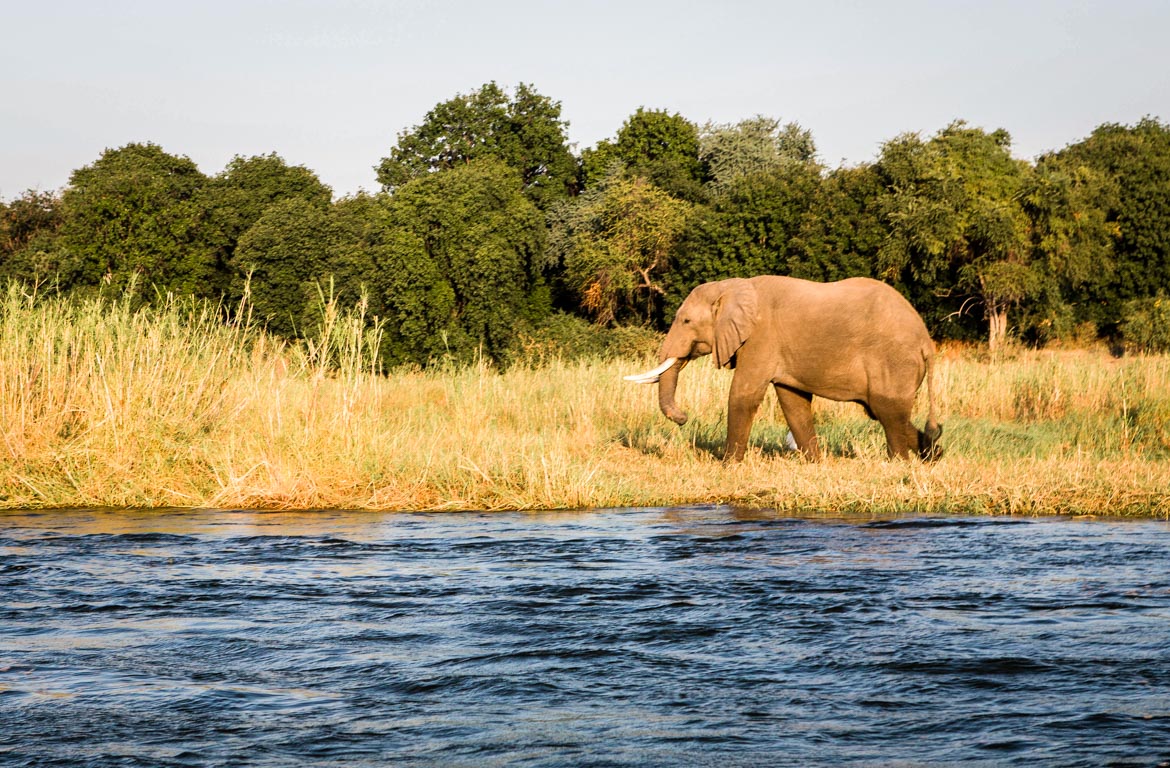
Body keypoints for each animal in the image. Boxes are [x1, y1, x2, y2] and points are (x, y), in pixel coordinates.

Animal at [622, 276, 940, 461]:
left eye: (686, 321)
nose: (683, 418)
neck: (732, 287)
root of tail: (926, 341)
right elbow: (792, 401)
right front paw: (815, 464)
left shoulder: (761, 337)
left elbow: (744, 394)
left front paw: (728, 465)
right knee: (883, 411)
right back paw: (932, 453)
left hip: (893, 360)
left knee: (887, 410)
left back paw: (899, 463)